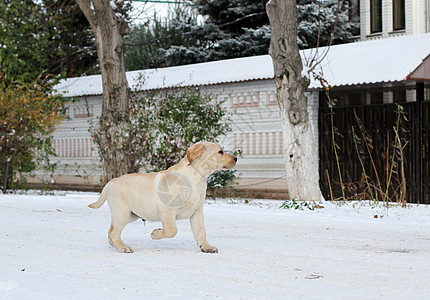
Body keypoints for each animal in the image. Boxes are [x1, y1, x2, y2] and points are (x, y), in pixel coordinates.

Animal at [86, 141, 235, 253]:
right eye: (220, 152)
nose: (236, 158)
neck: (196, 179)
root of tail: (112, 181)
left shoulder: (196, 212)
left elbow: (201, 231)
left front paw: (206, 247)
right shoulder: (167, 211)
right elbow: (172, 230)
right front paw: (156, 233)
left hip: (130, 215)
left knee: (111, 230)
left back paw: (116, 244)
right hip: (122, 213)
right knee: (114, 232)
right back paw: (123, 247)